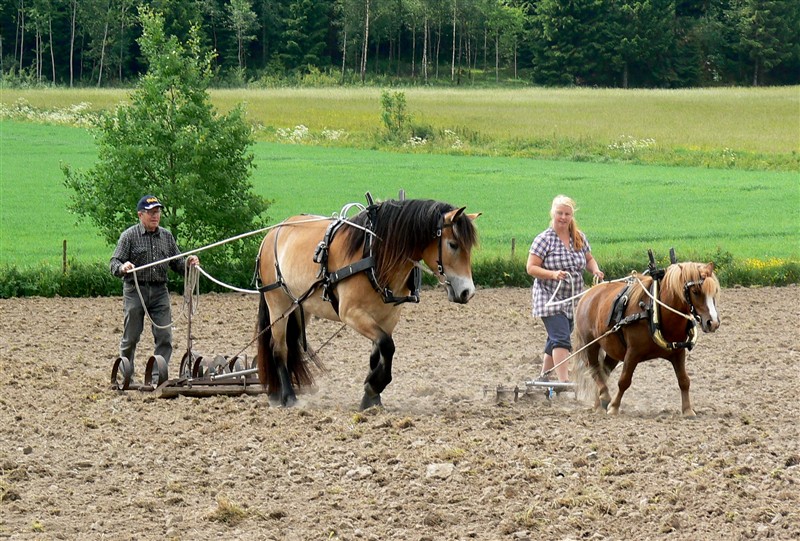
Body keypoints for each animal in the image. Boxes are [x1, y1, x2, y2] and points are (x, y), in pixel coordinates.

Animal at [260, 198, 478, 410]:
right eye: (453, 244)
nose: (467, 292)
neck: (375, 256)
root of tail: (272, 233)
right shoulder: (352, 313)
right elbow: (387, 345)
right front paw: (374, 385)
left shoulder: (388, 317)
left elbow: (377, 354)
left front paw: (371, 398)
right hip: (277, 303)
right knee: (279, 348)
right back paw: (288, 397)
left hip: (300, 306)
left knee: (291, 343)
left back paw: (278, 393)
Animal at [572, 260, 720, 416]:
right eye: (695, 292)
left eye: (714, 291)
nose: (713, 323)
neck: (655, 311)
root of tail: (590, 292)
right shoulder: (633, 352)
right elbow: (624, 381)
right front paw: (614, 407)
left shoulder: (678, 352)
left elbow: (684, 380)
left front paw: (687, 410)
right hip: (590, 344)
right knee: (594, 369)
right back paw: (605, 397)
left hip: (613, 350)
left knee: (603, 371)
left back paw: (599, 404)